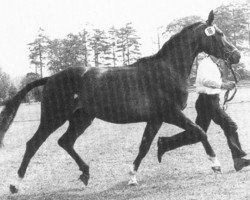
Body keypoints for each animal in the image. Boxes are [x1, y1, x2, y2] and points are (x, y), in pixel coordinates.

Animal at [0, 10, 242, 192]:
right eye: (219, 34)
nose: (237, 55)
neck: (166, 70)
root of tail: (51, 78)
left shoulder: (156, 119)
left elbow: (144, 146)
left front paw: (132, 177)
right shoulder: (171, 114)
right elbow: (200, 132)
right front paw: (216, 165)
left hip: (82, 118)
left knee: (65, 141)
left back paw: (85, 174)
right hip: (53, 117)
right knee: (33, 144)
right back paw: (15, 184)